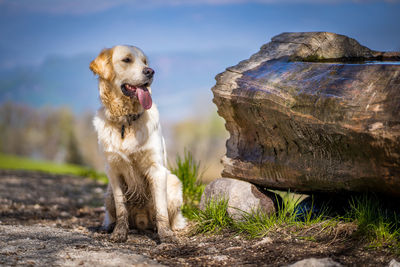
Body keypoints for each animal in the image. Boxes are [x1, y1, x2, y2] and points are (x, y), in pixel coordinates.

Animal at [90, 45, 185, 243]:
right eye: (127, 60)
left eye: (145, 61)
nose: (150, 71)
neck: (126, 121)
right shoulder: (114, 170)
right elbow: (121, 209)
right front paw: (119, 232)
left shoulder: (157, 169)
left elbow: (161, 210)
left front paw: (165, 235)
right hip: (108, 193)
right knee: (111, 213)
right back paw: (107, 227)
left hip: (173, 183)